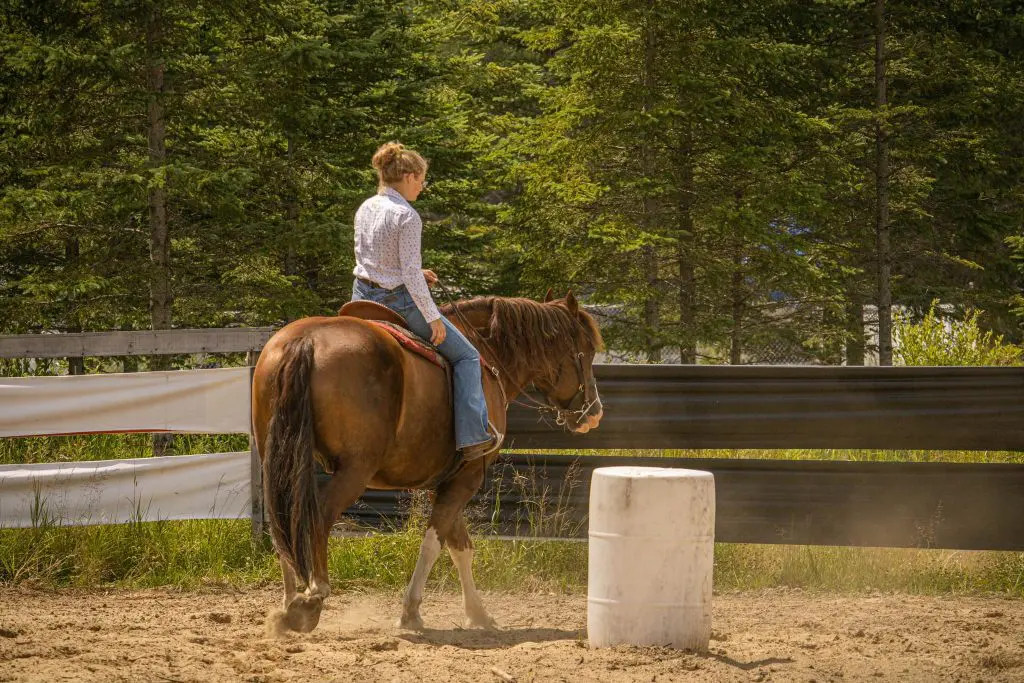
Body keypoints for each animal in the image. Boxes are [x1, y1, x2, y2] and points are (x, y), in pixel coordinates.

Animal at [249, 288, 598, 634]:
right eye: (589, 351)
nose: (594, 412)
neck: (486, 355)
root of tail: (305, 340)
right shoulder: (468, 475)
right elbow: (435, 542)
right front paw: (411, 612)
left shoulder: (445, 480)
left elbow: (460, 546)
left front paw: (478, 614)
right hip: (354, 470)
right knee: (318, 516)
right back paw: (313, 597)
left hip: (277, 460)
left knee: (283, 520)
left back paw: (288, 604)